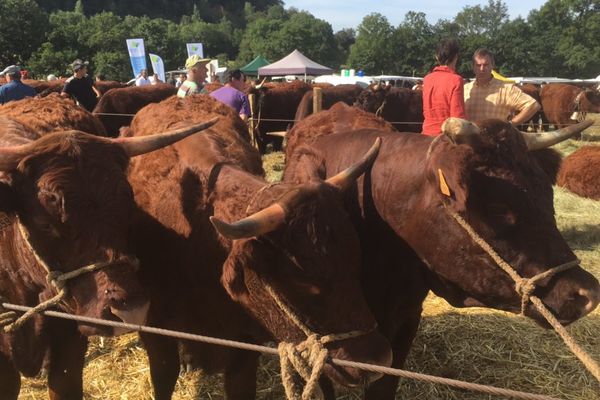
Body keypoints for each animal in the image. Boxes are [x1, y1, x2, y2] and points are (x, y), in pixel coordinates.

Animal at [126, 95, 392, 398]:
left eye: (355, 258)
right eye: (302, 282)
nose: (378, 360)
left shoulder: (245, 344)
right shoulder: (154, 330)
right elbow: (164, 375)